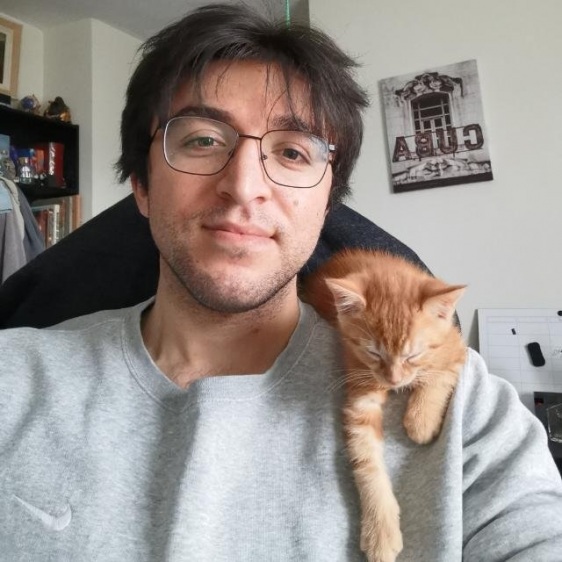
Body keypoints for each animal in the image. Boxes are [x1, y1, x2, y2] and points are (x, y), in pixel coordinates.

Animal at [301, 248, 467, 562]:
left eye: (412, 355)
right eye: (374, 353)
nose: (393, 380)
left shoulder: (455, 346)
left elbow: (438, 375)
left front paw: (420, 420)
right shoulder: (360, 387)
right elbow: (365, 459)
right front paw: (380, 530)